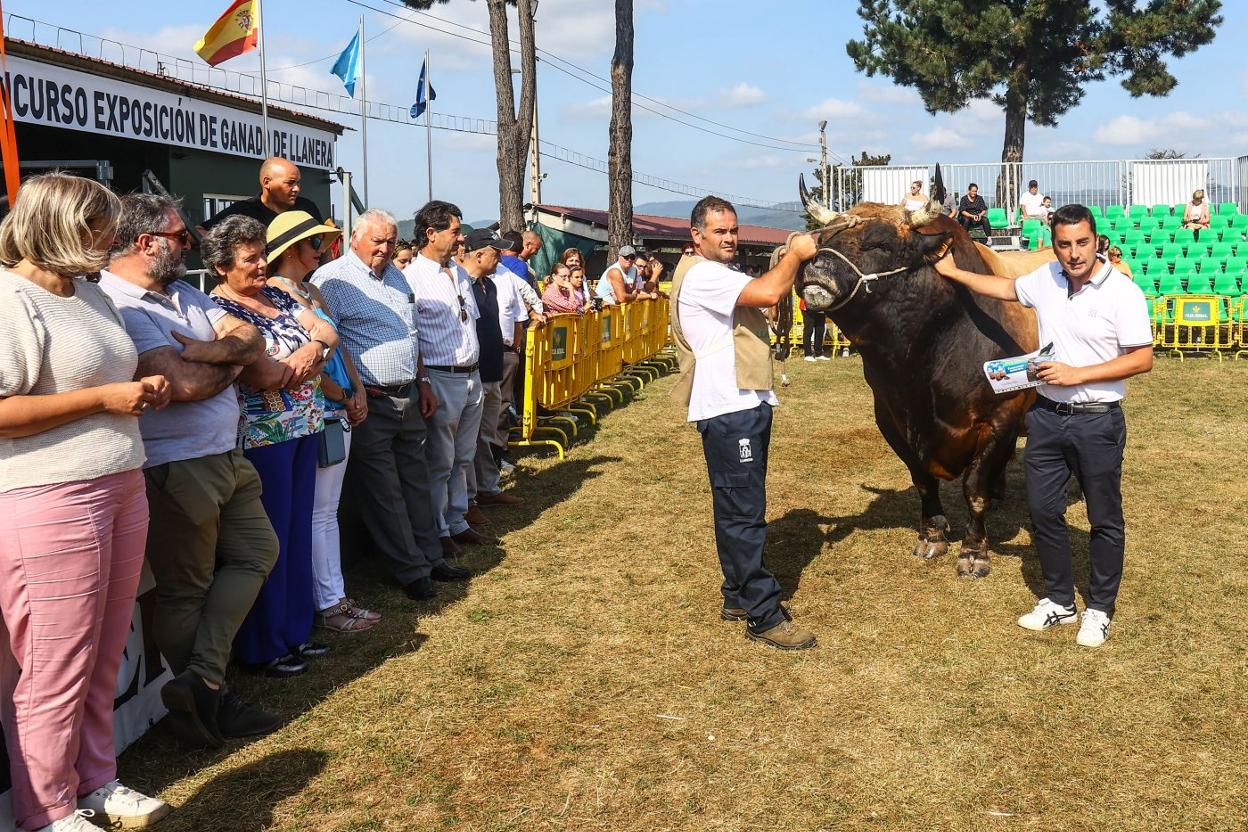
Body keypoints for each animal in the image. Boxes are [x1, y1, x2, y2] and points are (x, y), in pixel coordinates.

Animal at [798, 178, 1053, 576]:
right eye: (824, 239)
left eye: (880, 244)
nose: (815, 269)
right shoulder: (890, 417)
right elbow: (921, 479)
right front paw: (932, 535)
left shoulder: (1000, 416)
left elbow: (974, 487)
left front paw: (973, 550)